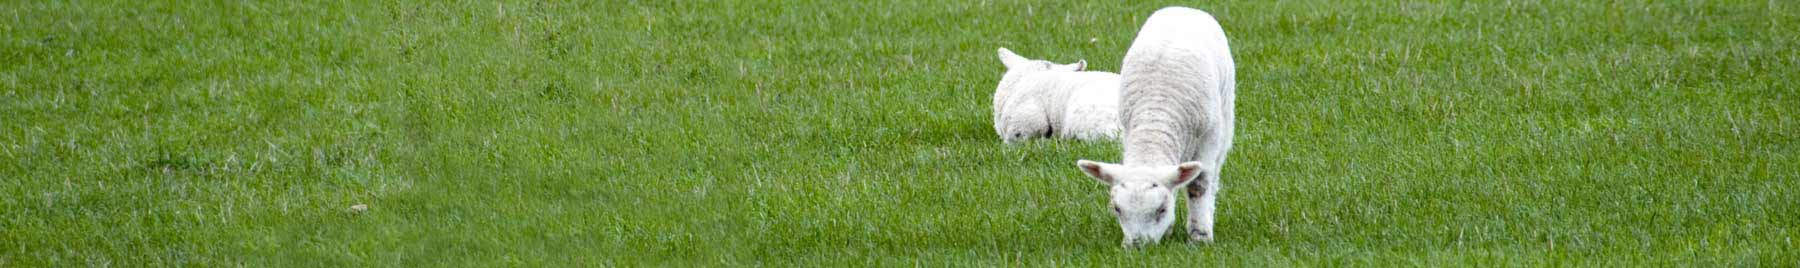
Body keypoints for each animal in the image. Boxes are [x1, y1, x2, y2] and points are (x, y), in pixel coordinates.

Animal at [1065, 6, 1238, 248]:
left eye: (1161, 209)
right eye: (1117, 209)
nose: (1137, 246)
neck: (1156, 117)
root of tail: (1183, 8)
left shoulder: (1209, 137)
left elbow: (1199, 184)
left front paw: (1200, 236)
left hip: (1225, 113)